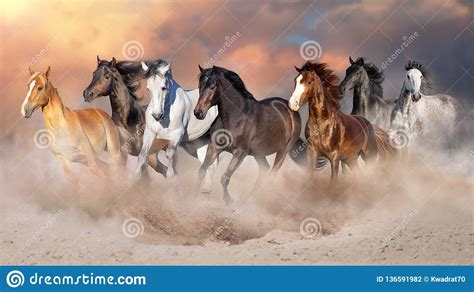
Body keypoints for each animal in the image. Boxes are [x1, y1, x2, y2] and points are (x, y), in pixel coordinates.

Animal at [136, 60, 219, 192]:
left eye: (163, 87)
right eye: (148, 89)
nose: (157, 115)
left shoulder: (177, 135)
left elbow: (170, 153)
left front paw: (170, 174)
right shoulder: (150, 133)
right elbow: (142, 154)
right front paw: (134, 177)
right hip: (200, 144)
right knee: (209, 164)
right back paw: (206, 190)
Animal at [194, 65, 302, 205]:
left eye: (212, 86)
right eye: (200, 86)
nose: (198, 112)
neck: (236, 117)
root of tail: (291, 110)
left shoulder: (240, 153)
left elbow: (225, 178)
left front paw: (229, 201)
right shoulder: (214, 147)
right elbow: (202, 171)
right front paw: (192, 198)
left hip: (282, 151)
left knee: (271, 174)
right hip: (259, 153)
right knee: (264, 171)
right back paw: (248, 200)